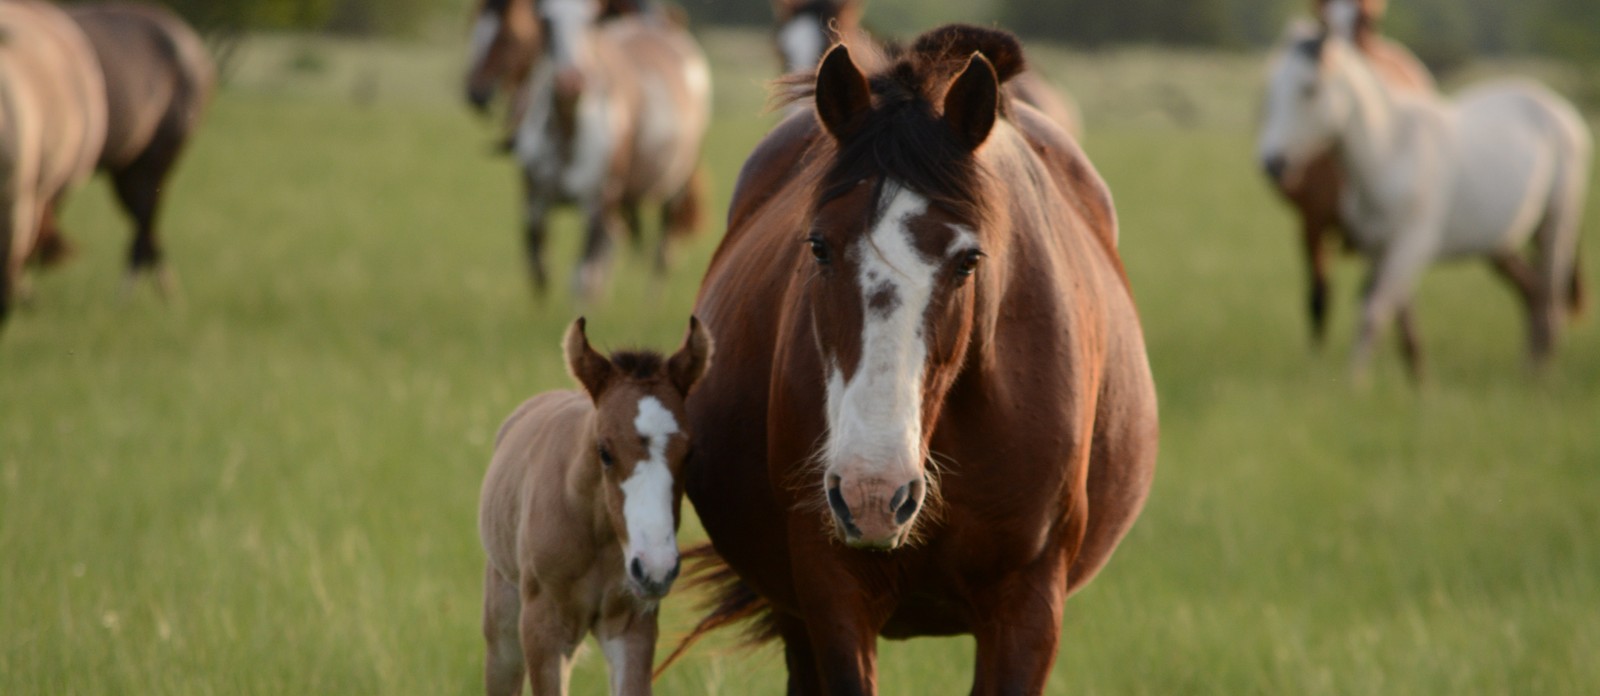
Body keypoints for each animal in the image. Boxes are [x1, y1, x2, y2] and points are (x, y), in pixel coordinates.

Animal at [479, 316, 712, 696]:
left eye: (689, 453)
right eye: (605, 451)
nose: (656, 568)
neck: (596, 531)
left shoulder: (633, 624)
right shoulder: (543, 628)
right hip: (503, 626)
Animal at [512, 0, 709, 300]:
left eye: (591, 22)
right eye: (545, 22)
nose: (570, 81)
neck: (567, 135)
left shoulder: (598, 203)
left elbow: (583, 277)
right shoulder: (533, 200)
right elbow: (540, 269)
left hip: (675, 187)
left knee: (662, 252)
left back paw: (651, 302)